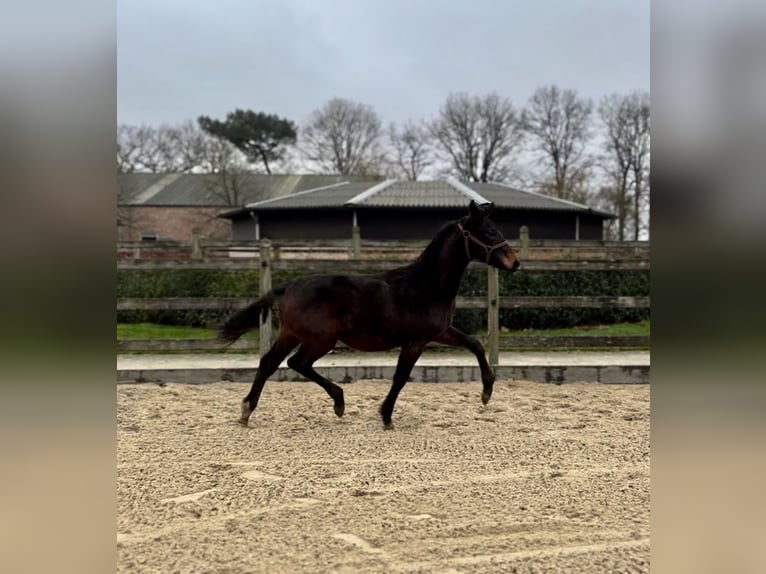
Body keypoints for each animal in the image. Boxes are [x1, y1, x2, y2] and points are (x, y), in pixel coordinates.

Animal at [222, 200, 520, 430]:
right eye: (488, 232)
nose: (515, 263)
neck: (425, 286)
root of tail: (290, 286)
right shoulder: (415, 342)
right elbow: (400, 378)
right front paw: (386, 417)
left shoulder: (441, 332)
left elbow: (475, 344)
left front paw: (486, 393)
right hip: (321, 340)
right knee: (297, 363)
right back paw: (338, 402)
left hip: (291, 334)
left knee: (269, 363)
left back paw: (247, 411)